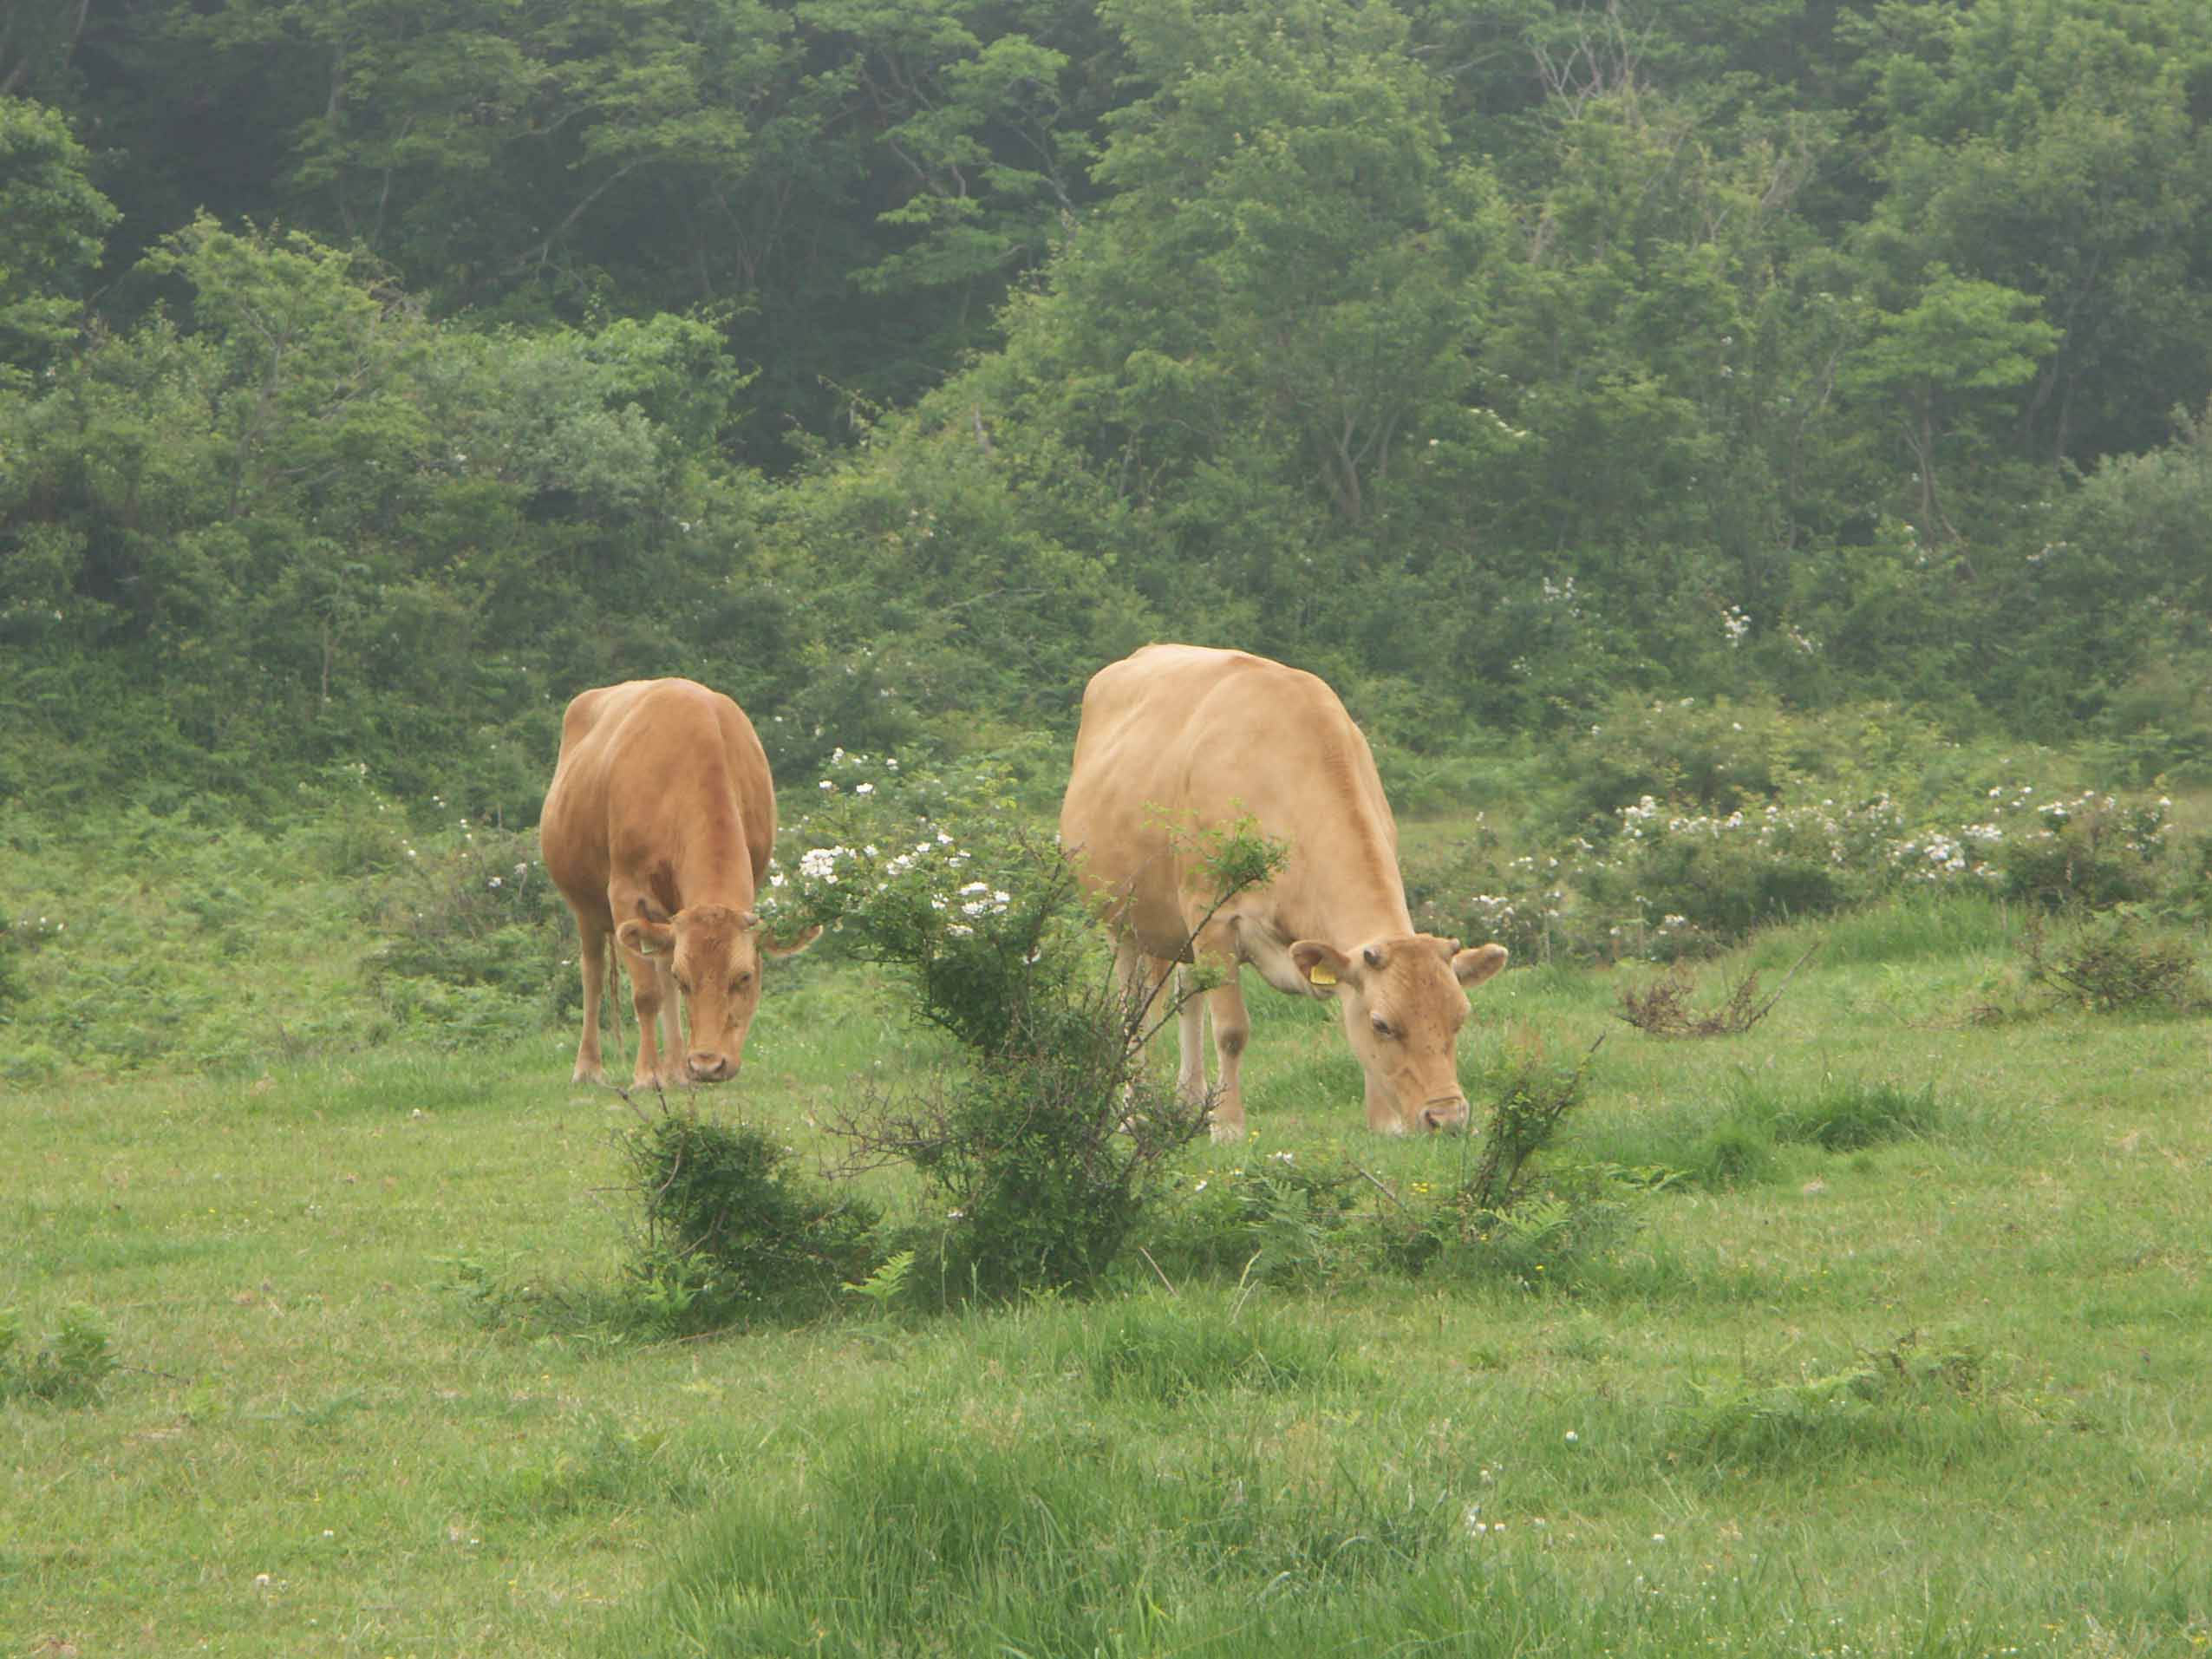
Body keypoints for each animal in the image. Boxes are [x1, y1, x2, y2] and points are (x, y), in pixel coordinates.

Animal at [539, 676, 818, 1093]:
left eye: (745, 976)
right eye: (685, 979)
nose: (707, 1064)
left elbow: (662, 981)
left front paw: (673, 1070)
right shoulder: (624, 894)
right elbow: (647, 992)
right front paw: (647, 1074)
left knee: (659, 958)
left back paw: (674, 1069)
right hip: (583, 903)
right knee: (593, 973)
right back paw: (590, 1067)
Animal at [1053, 641, 1504, 1141]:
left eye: (1460, 1017)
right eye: (1383, 1024)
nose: (1446, 1118)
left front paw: (1383, 1124)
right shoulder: (1215, 918)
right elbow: (1231, 1031)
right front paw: (1228, 1128)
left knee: (1187, 1001)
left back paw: (1189, 1101)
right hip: (1122, 920)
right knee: (1133, 1010)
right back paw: (1132, 1115)